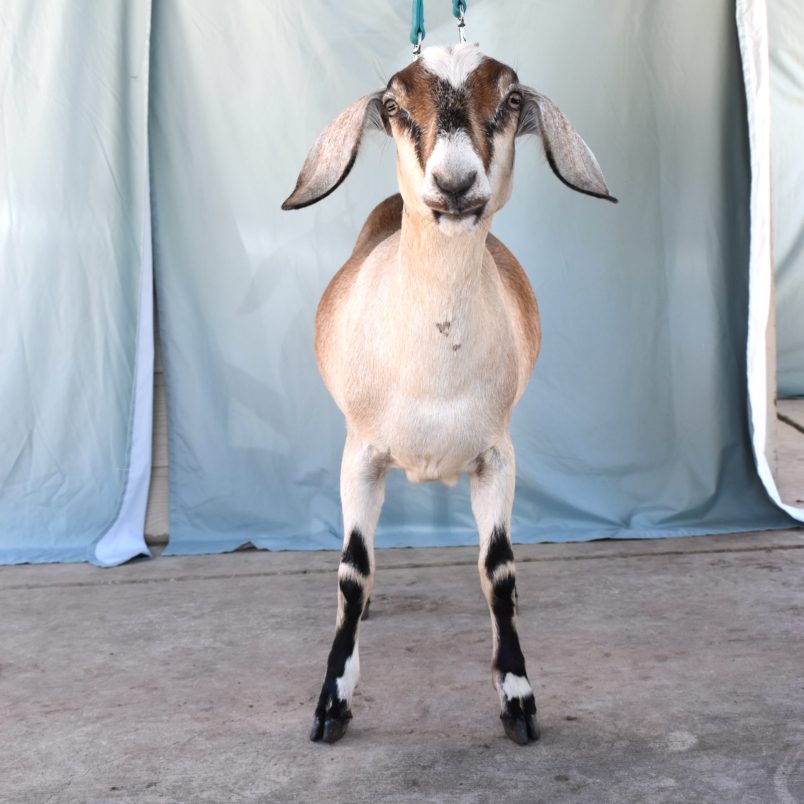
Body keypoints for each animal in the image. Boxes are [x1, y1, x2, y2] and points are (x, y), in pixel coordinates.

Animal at [282, 44, 616, 748]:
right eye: (392, 104)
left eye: (511, 99)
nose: (456, 182)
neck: (434, 363)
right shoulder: (360, 456)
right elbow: (353, 569)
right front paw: (332, 703)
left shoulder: (497, 457)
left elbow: (499, 568)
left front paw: (517, 698)